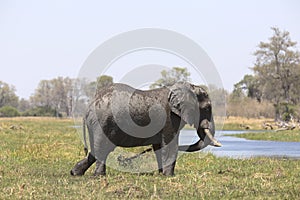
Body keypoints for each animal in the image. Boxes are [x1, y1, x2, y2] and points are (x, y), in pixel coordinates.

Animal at [70, 82, 220, 176]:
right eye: (207, 108)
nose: (122, 159)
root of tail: (89, 106)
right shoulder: (169, 119)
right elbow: (170, 145)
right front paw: (169, 176)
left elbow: (159, 146)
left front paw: (161, 174)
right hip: (103, 122)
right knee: (102, 148)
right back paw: (99, 176)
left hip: (96, 124)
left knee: (95, 149)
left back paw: (75, 173)